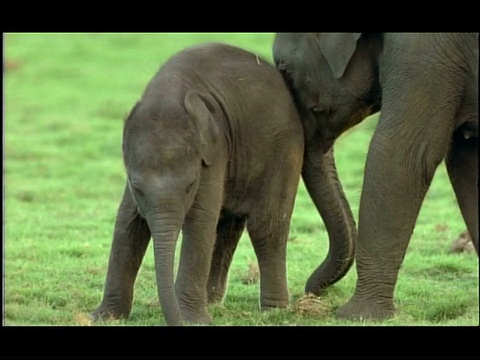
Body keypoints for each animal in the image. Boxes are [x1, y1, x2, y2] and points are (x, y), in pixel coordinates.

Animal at [91, 42, 352, 326]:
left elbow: (200, 222)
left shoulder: (213, 150)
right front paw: (104, 317)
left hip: (284, 148)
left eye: (190, 185)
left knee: (266, 227)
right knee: (228, 223)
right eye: (136, 186)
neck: (168, 92)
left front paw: (194, 320)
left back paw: (274, 310)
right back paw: (213, 301)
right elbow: (128, 223)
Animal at [272, 33, 478, 320]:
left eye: (285, 69)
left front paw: (355, 315)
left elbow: (398, 155)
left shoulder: (425, 54)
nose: (311, 292)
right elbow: (467, 161)